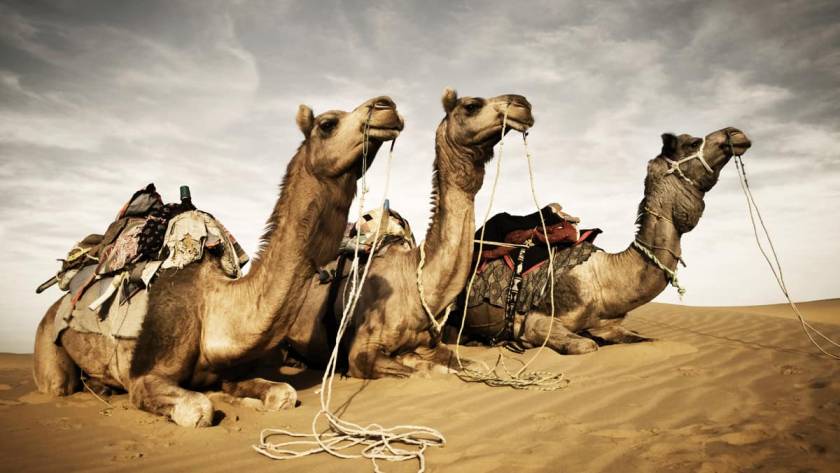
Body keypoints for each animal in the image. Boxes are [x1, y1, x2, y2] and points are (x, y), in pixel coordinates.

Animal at [32, 96, 404, 426]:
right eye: (327, 124)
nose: (387, 106)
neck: (213, 306)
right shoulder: (144, 378)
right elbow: (200, 409)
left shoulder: (230, 370)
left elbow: (282, 393)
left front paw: (241, 400)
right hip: (49, 348)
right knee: (59, 385)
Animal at [286, 89, 534, 378]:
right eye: (472, 106)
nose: (523, 104)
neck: (415, 284)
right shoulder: (361, 353)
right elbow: (425, 371)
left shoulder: (430, 343)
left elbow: (467, 365)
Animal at [455, 127, 752, 354]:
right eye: (693, 142)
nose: (735, 133)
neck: (604, 277)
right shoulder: (536, 321)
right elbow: (586, 345)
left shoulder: (608, 324)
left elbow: (647, 339)